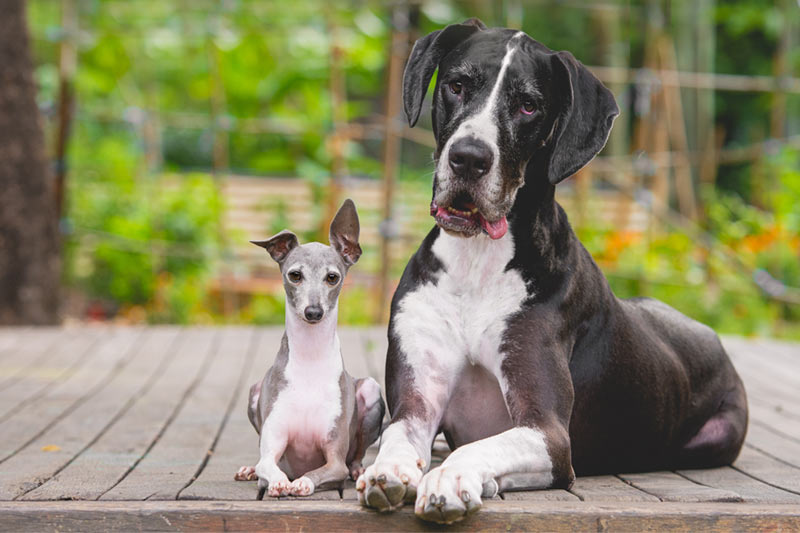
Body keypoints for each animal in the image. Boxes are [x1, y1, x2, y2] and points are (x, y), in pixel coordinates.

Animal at [236, 200, 386, 498]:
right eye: (295, 275)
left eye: (332, 277)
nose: (313, 312)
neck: (310, 360)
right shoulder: (272, 447)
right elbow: (267, 465)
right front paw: (278, 481)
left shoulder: (334, 459)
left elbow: (318, 472)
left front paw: (302, 482)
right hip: (254, 391)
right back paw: (248, 470)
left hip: (371, 389)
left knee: (356, 457)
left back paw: (359, 471)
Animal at [356, 19, 752, 524]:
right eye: (457, 85)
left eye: (528, 106)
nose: (468, 157)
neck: (477, 261)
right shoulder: (415, 405)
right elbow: (396, 435)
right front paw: (388, 471)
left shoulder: (547, 434)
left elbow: (478, 447)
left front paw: (449, 479)